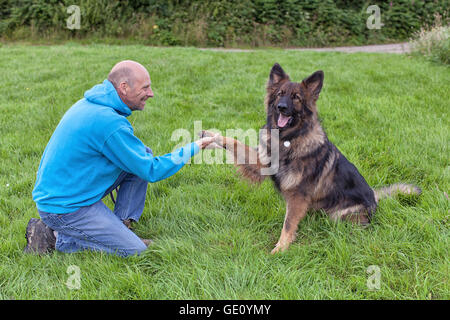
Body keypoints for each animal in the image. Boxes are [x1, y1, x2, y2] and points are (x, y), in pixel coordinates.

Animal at [203, 63, 422, 254]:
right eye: (280, 94)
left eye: (297, 98)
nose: (281, 107)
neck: (289, 139)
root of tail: (375, 198)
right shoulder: (261, 163)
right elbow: (235, 143)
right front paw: (210, 137)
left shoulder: (298, 196)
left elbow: (288, 224)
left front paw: (280, 249)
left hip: (339, 215)